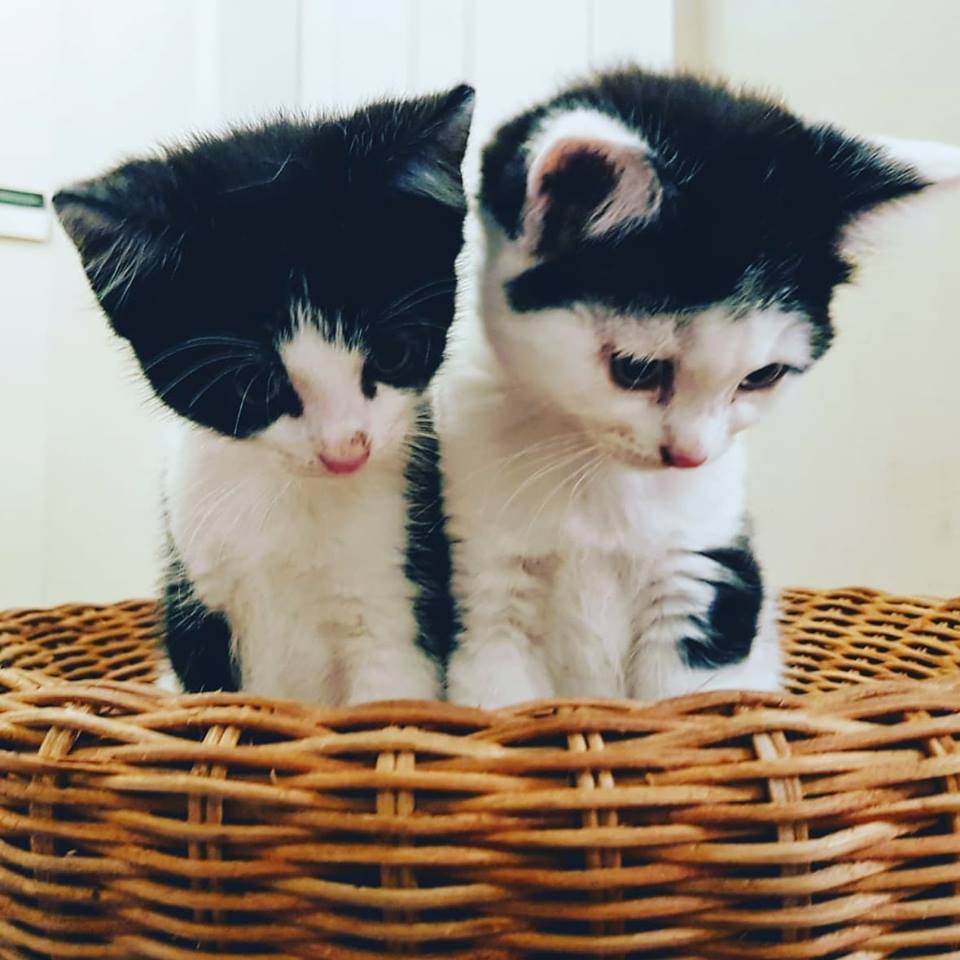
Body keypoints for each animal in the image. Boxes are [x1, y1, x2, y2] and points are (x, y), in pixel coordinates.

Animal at [54, 84, 473, 702]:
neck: (290, 497)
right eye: (252, 387)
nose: (345, 450)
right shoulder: (198, 608)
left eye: (396, 353)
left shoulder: (397, 608)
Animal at [436, 68, 960, 709]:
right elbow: (504, 699)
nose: (689, 455)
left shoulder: (704, 572)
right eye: (636, 370)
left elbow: (693, 700)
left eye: (762, 376)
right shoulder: (486, 586)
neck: (596, 476)